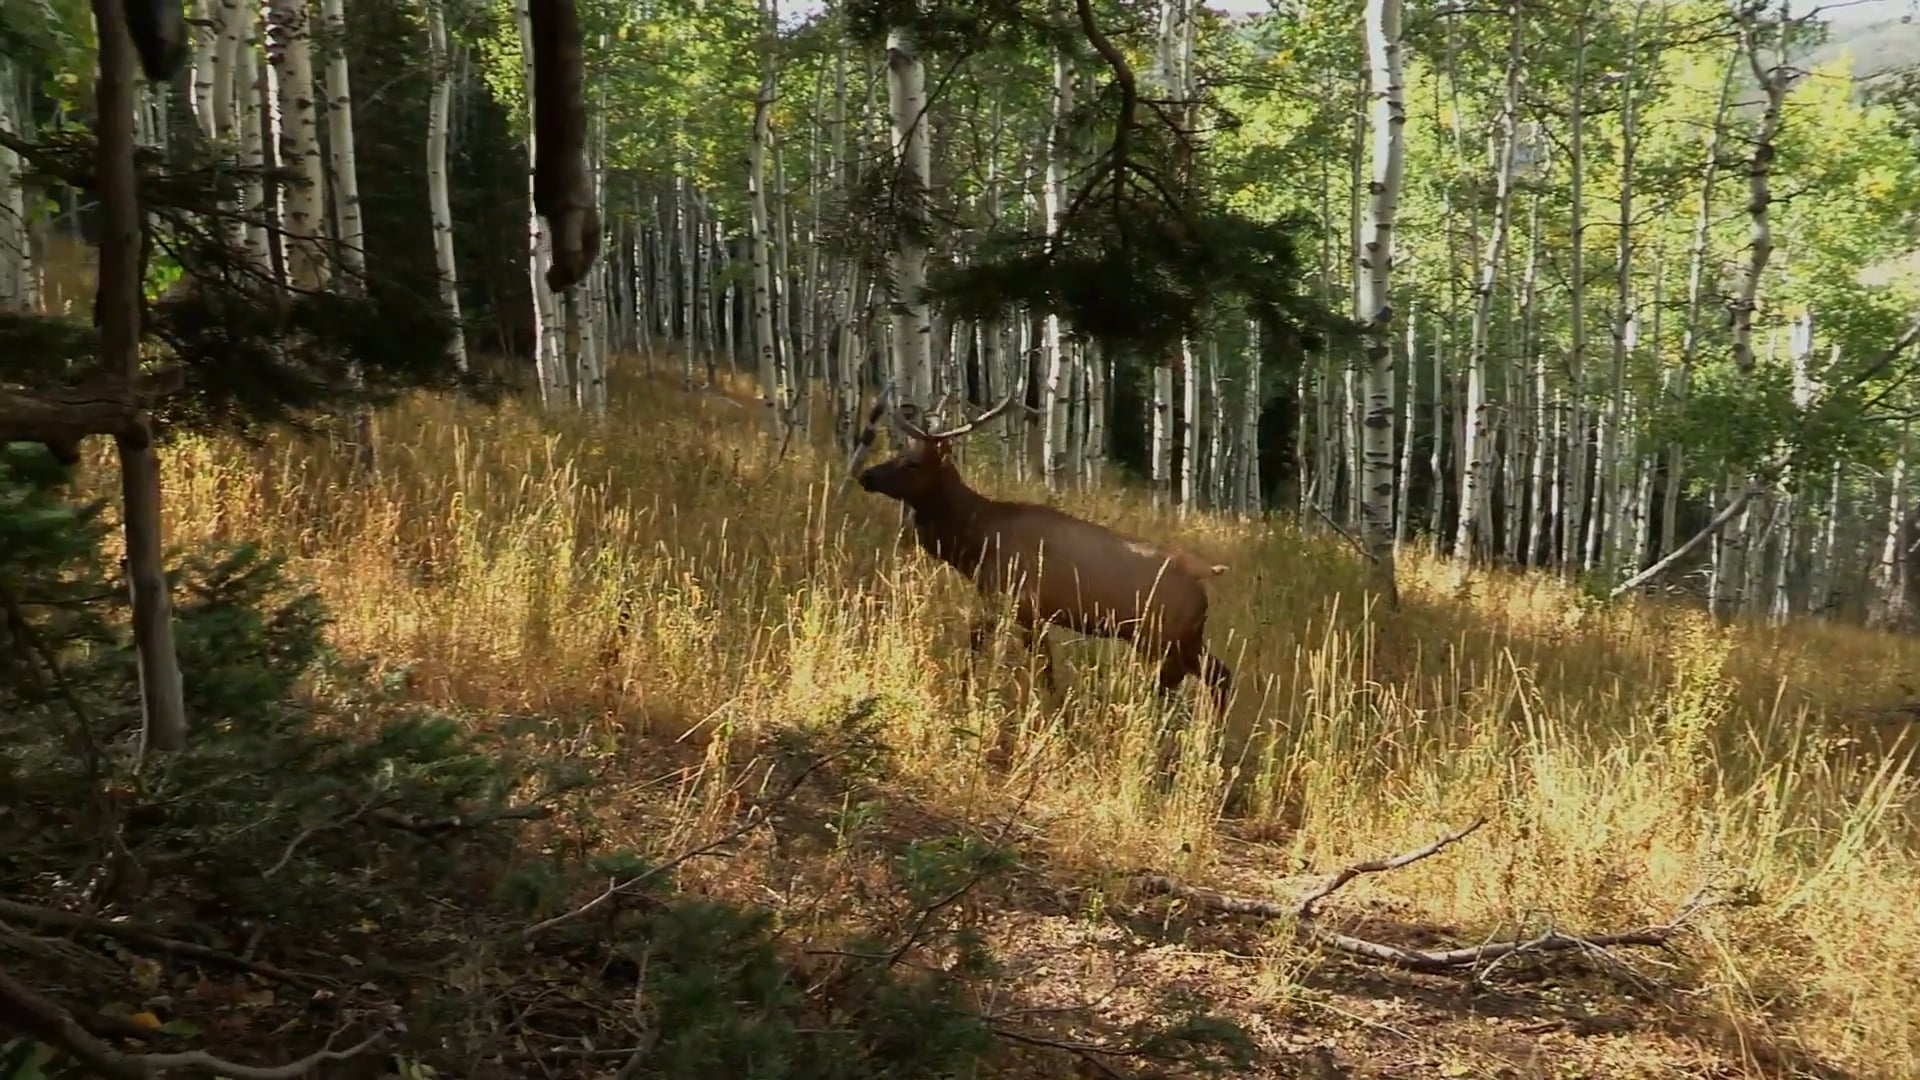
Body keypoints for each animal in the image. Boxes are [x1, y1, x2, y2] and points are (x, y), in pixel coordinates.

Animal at [841, 384, 1234, 713]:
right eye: (898, 450)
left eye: (913, 463)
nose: (867, 475)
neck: (979, 539)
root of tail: (1207, 580)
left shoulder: (1021, 601)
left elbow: (1030, 665)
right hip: (1186, 639)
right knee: (1221, 676)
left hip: (1162, 639)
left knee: (1180, 683)